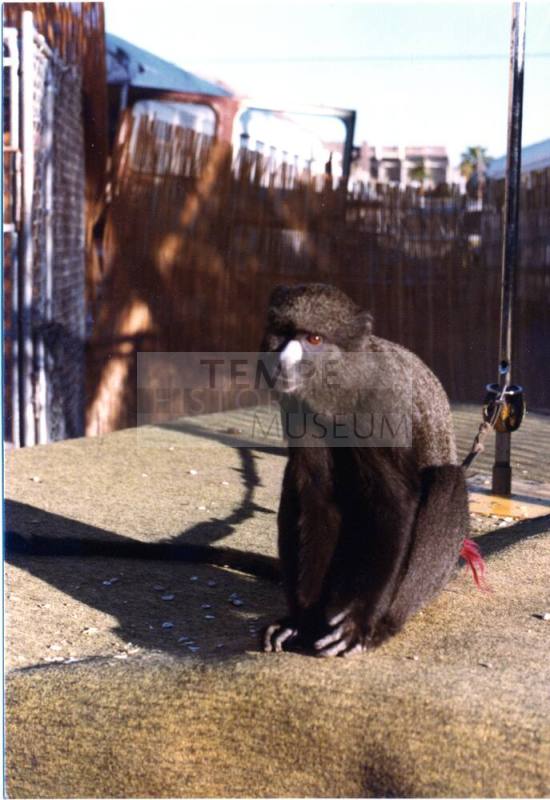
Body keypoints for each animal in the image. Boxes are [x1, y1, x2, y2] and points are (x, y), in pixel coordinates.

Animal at [260, 282, 473, 657]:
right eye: (283, 334)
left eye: (314, 339)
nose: (284, 362)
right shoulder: (298, 407)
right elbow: (315, 494)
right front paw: (303, 621)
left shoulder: (381, 405)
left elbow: (395, 501)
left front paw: (357, 623)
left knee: (447, 481)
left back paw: (385, 624)